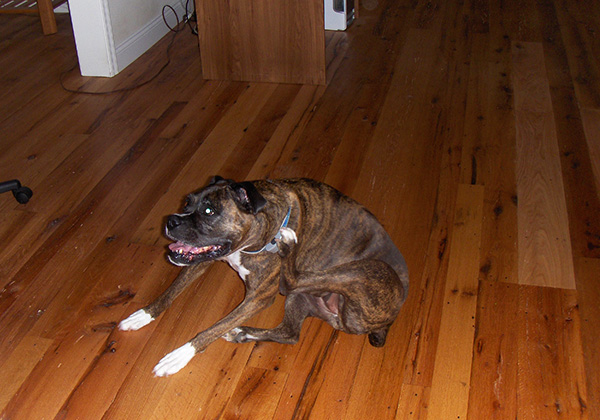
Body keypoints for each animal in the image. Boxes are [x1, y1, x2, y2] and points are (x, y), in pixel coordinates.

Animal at [118, 177, 408, 378]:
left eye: (210, 211)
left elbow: (211, 329)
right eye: (186, 202)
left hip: (367, 270)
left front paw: (179, 355)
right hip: (301, 299)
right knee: (290, 333)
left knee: (292, 281)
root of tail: (389, 321)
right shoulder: (201, 260)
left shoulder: (258, 298)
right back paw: (242, 333)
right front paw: (143, 315)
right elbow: (171, 291)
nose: (171, 221)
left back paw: (289, 244)